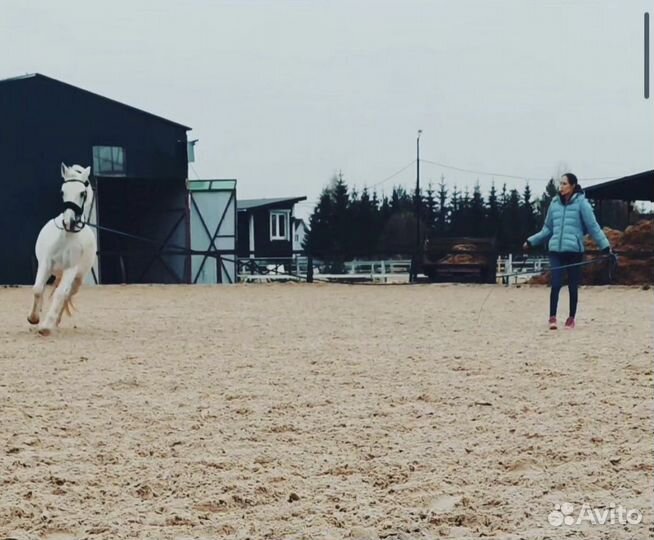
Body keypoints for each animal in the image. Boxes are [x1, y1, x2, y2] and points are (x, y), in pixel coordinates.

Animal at [27, 163, 97, 336]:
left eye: (82, 193)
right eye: (62, 191)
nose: (68, 222)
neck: (66, 237)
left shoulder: (71, 269)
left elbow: (59, 294)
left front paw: (46, 326)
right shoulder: (45, 264)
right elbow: (37, 289)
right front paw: (33, 318)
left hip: (77, 280)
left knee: (65, 295)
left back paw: (54, 322)